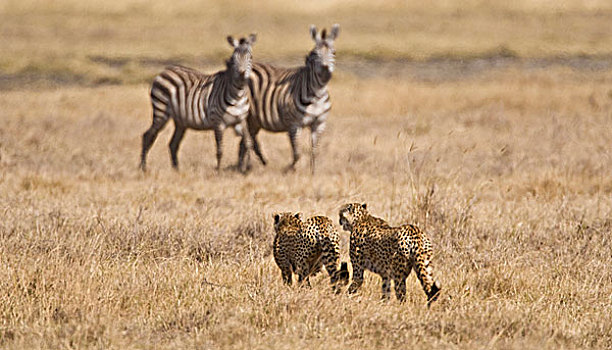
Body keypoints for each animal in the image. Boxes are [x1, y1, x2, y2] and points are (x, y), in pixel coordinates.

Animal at [141, 33, 256, 173]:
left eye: (250, 57)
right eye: (233, 59)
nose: (241, 75)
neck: (238, 95)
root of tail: (165, 71)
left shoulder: (241, 120)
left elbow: (248, 142)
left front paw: (248, 168)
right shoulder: (218, 123)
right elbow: (220, 149)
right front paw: (218, 170)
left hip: (181, 121)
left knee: (173, 144)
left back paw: (176, 170)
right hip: (161, 112)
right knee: (148, 136)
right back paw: (143, 168)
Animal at [238, 23, 340, 174]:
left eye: (333, 53)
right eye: (315, 54)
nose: (326, 71)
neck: (317, 94)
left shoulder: (319, 123)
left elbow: (314, 151)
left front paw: (313, 172)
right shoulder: (294, 125)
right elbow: (297, 153)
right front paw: (289, 169)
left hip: (254, 119)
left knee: (248, 140)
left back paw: (244, 166)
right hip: (246, 115)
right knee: (247, 140)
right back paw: (245, 166)